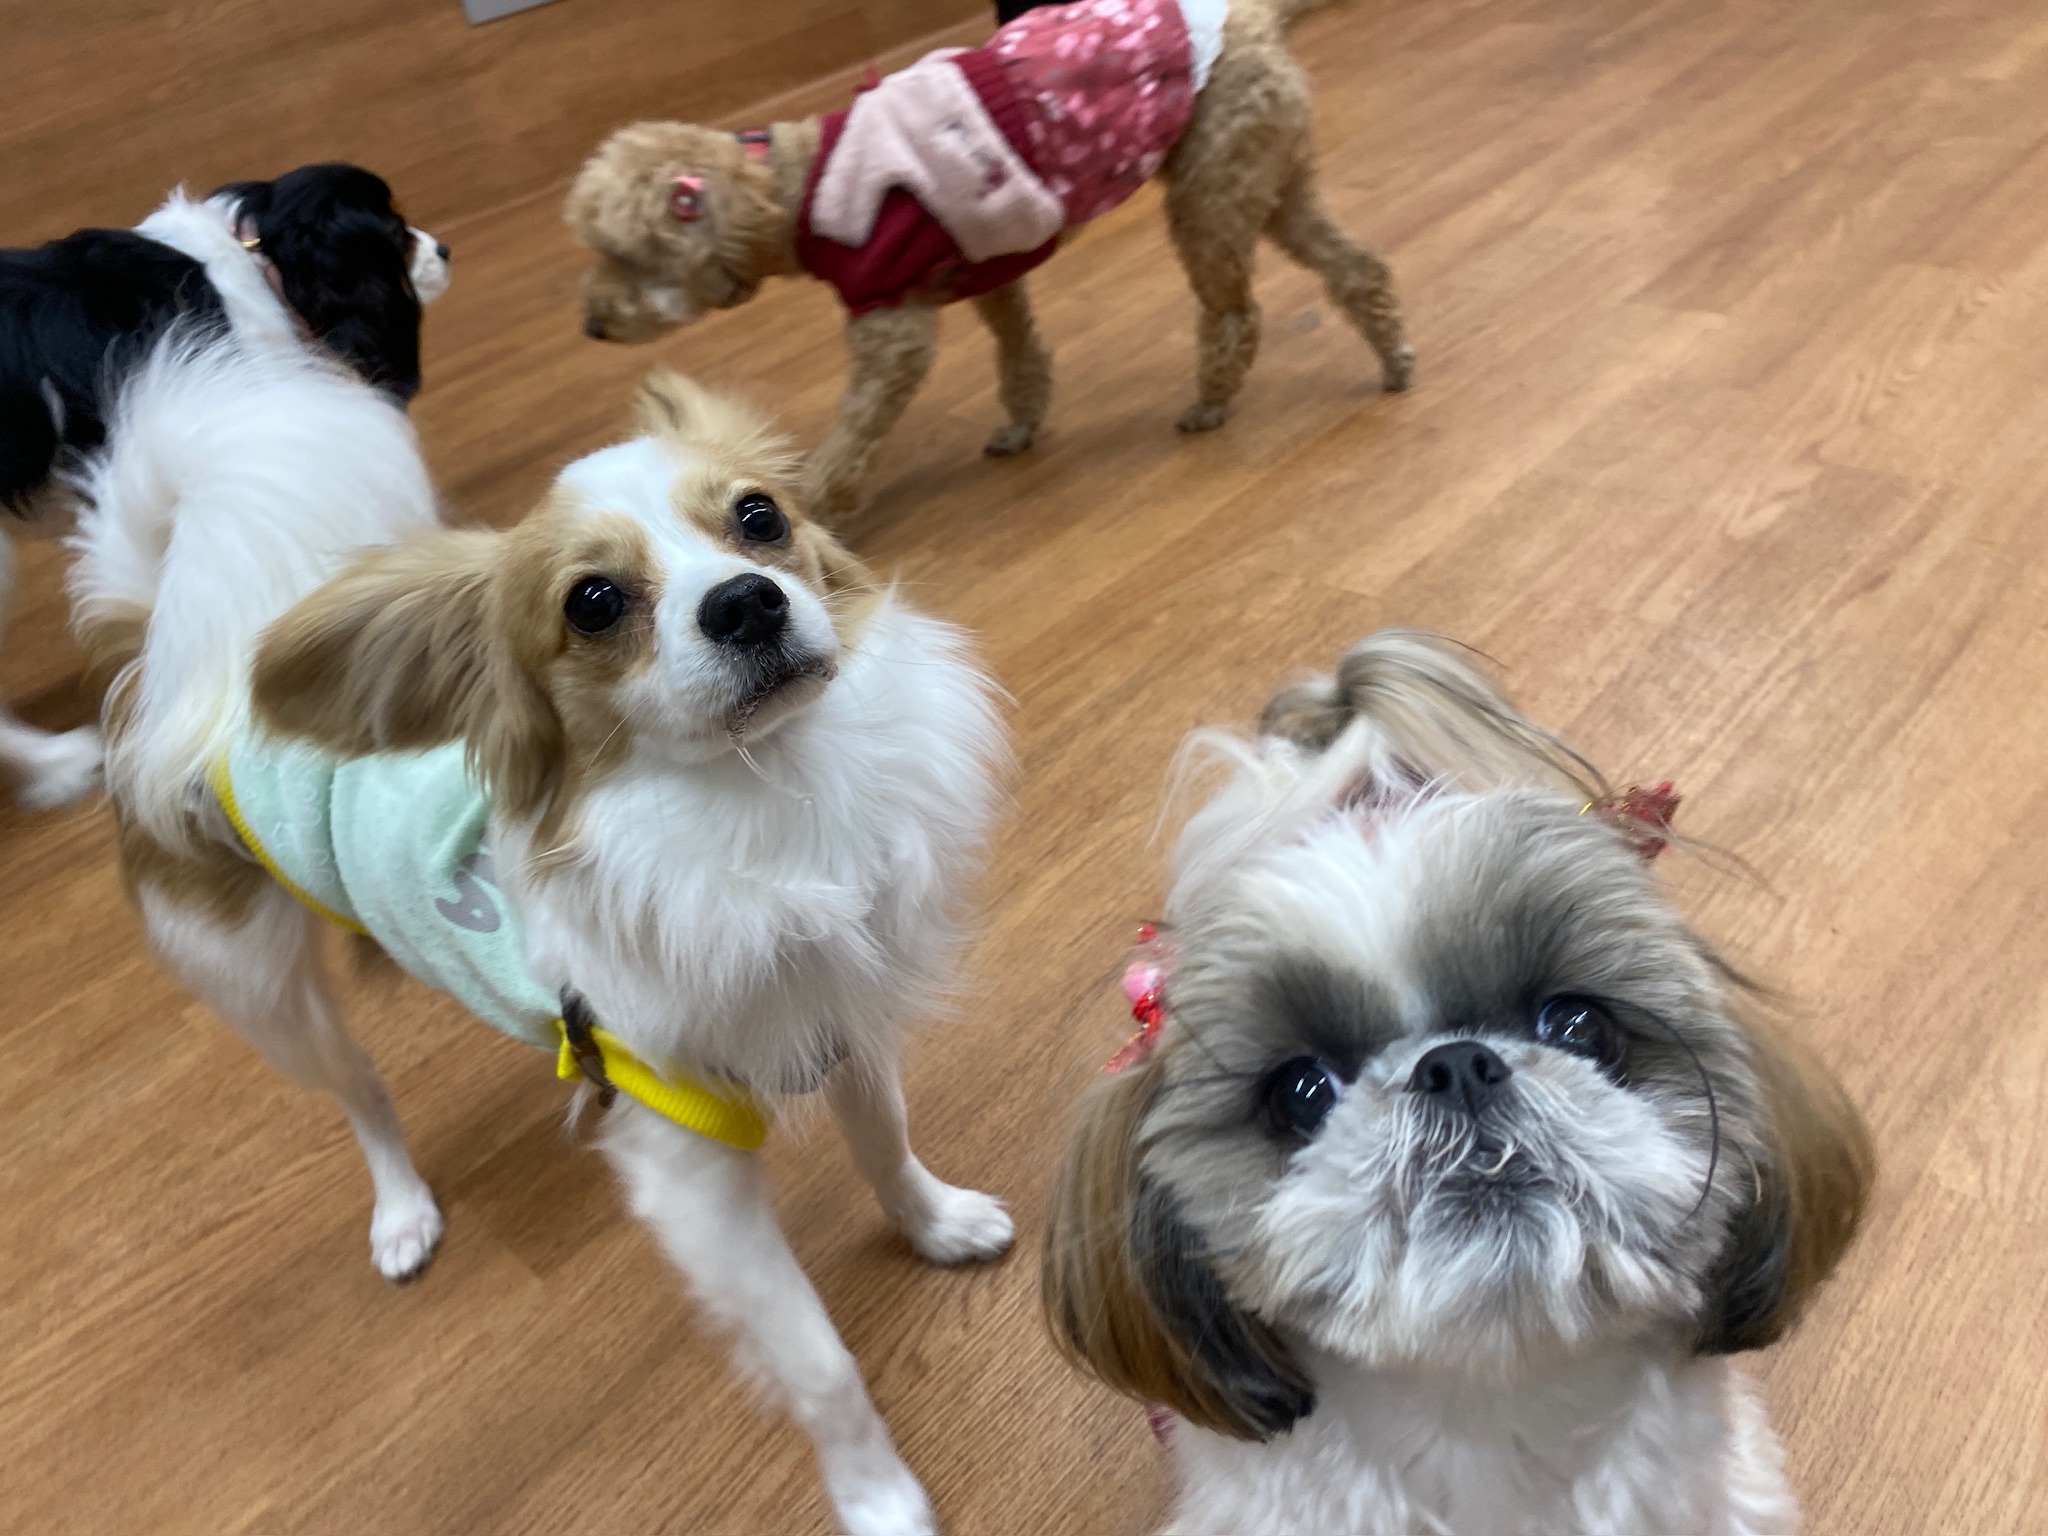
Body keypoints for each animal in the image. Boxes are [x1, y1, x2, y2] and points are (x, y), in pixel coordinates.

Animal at [68, 338, 1011, 1536]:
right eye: (595, 602)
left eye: (758, 518)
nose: (747, 602)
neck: (770, 800)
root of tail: (174, 679)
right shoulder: (689, 1160)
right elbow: (817, 1363)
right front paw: (878, 1500)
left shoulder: (835, 1011)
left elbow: (886, 1139)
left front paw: (935, 1225)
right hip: (263, 994)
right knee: (359, 1088)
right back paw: (402, 1212)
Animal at [566, 0, 1412, 518]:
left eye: (624, 255)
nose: (593, 327)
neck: (794, 186)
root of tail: (1256, 18)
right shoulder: (988, 272)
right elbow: (1021, 354)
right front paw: (1021, 425)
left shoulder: (893, 330)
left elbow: (850, 434)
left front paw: (804, 512)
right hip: (1270, 180)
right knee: (1357, 268)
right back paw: (1393, 360)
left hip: (1212, 193)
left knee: (1235, 312)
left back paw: (1212, 401)